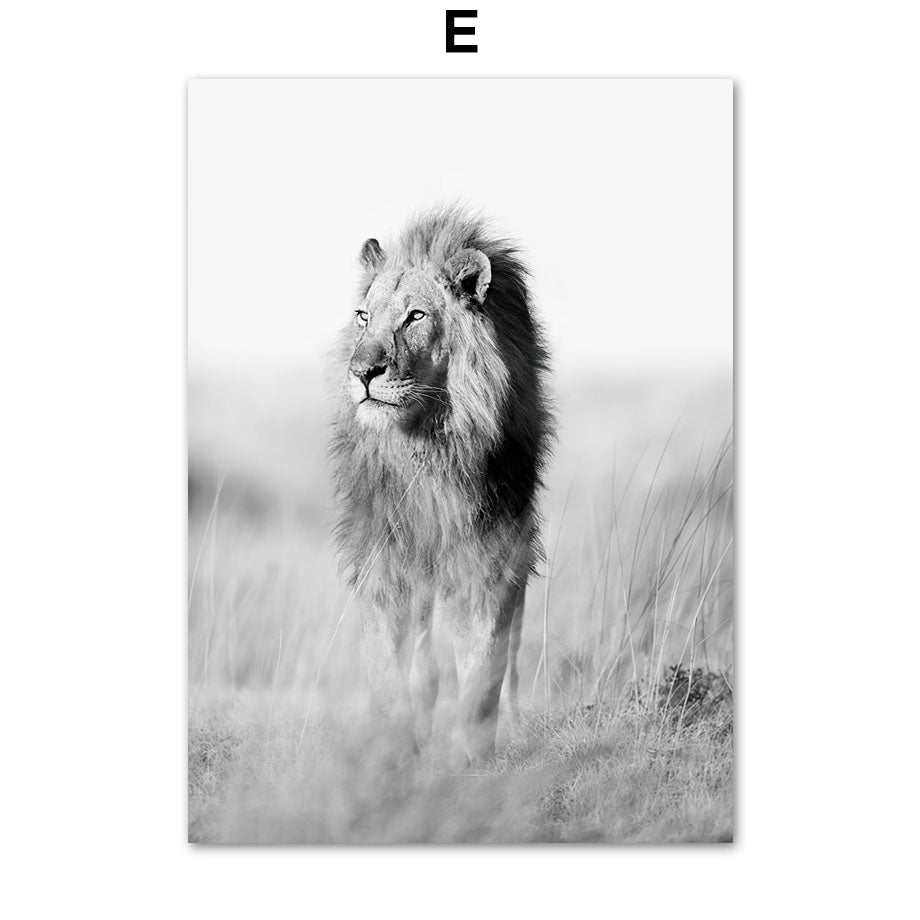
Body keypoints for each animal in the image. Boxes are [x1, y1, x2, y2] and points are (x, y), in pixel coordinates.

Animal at [328, 205, 553, 763]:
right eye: (364, 317)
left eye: (416, 316)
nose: (362, 371)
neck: (427, 447)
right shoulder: (382, 561)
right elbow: (388, 672)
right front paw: (395, 753)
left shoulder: (494, 559)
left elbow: (483, 671)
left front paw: (471, 757)